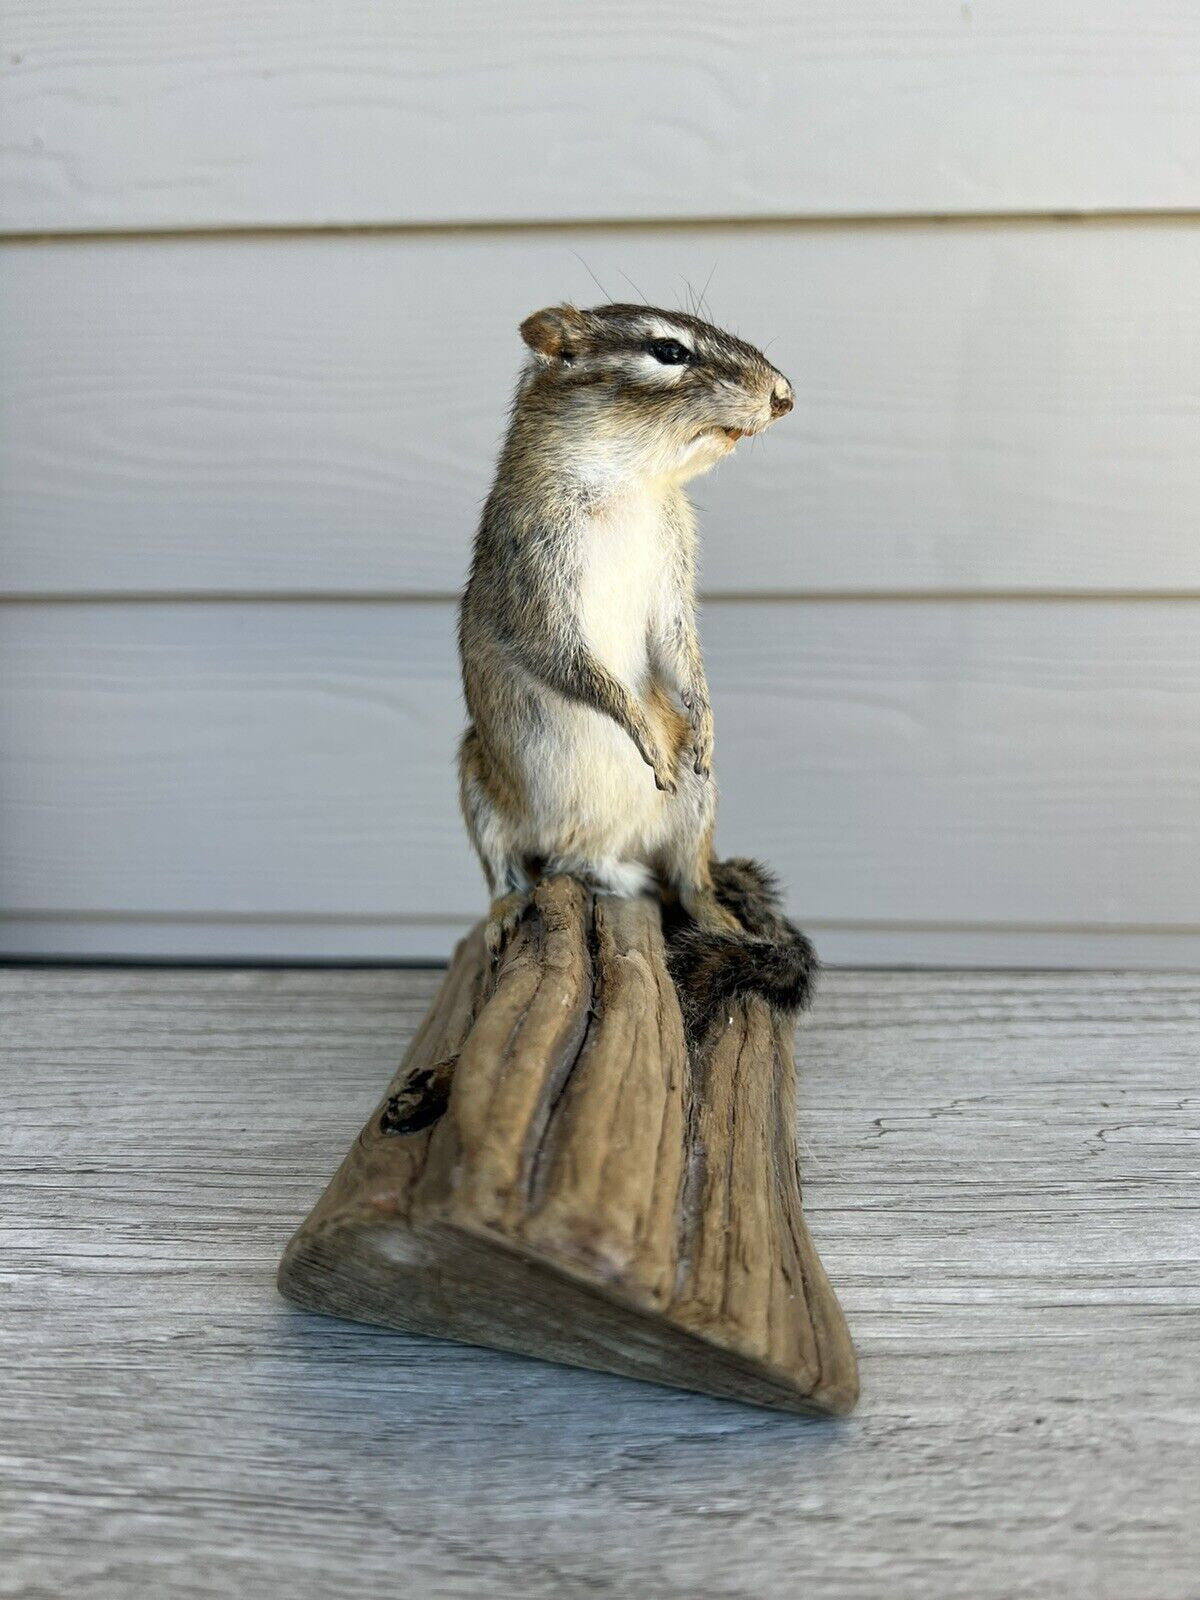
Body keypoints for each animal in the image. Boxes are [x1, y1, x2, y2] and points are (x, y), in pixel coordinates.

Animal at [457, 301, 816, 1038]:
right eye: (669, 351)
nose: (785, 395)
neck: (631, 489)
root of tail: (595, 855)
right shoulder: (532, 581)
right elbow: (569, 663)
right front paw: (639, 727)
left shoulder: (673, 581)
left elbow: (680, 651)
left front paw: (701, 716)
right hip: (480, 789)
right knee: (507, 872)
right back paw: (508, 910)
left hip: (696, 801)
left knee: (689, 876)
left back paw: (715, 913)